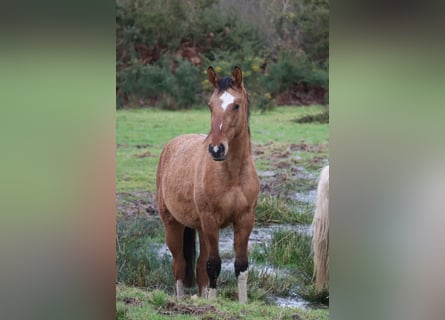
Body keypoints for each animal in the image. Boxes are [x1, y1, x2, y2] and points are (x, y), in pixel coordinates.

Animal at [156, 66, 260, 304]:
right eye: (210, 105)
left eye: (236, 105)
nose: (216, 149)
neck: (233, 175)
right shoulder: (211, 220)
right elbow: (214, 265)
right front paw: (212, 303)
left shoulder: (245, 219)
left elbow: (241, 266)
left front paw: (242, 304)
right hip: (173, 224)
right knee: (180, 265)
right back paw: (181, 299)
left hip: (201, 228)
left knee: (199, 266)